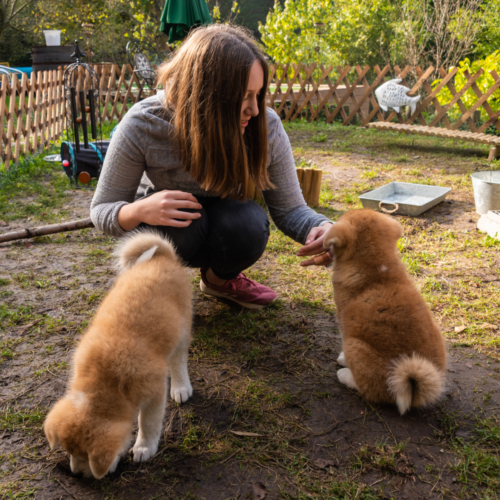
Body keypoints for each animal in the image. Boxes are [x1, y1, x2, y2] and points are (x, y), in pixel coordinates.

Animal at [44, 232, 192, 478]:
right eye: (69, 452)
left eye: (85, 457)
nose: (77, 474)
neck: (106, 379)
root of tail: (163, 257)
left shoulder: (155, 393)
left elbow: (148, 423)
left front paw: (144, 447)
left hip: (182, 330)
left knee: (178, 360)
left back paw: (181, 387)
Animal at [326, 210, 448, 414]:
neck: (377, 268)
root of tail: (414, 392)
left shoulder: (345, 325)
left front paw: (343, 360)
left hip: (355, 345)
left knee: (371, 390)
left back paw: (346, 375)